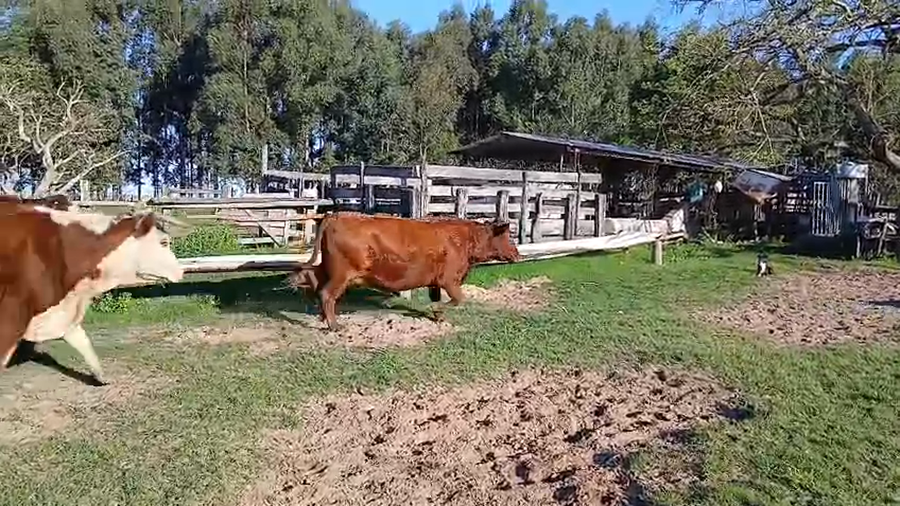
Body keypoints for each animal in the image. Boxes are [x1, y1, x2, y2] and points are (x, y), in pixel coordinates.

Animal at [289, 212, 521, 330]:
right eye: (505, 236)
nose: (517, 254)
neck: (463, 239)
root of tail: (336, 215)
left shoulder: (436, 281)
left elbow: (438, 298)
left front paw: (438, 317)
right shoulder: (450, 280)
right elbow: (457, 299)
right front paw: (435, 310)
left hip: (328, 269)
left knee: (313, 281)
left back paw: (323, 318)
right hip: (341, 274)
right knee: (326, 293)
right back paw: (335, 325)